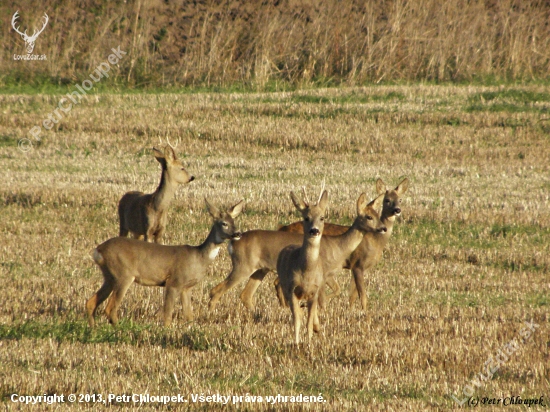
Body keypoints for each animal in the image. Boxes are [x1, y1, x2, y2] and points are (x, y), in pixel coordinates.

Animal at [85, 198, 244, 326]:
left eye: (234, 222)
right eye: (224, 223)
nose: (238, 233)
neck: (198, 257)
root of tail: (98, 250)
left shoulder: (186, 287)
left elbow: (189, 315)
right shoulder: (173, 281)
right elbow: (167, 314)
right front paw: (166, 331)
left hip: (109, 276)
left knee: (91, 302)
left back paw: (94, 329)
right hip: (123, 274)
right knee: (110, 308)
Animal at [209, 191, 386, 312]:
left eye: (379, 215)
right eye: (369, 217)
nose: (383, 228)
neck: (338, 246)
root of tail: (233, 242)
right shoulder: (322, 274)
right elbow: (322, 301)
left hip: (259, 269)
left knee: (245, 295)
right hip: (243, 266)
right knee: (217, 290)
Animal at [280, 177, 410, 308]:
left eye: (400, 199)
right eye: (387, 200)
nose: (397, 210)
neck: (375, 240)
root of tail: (283, 228)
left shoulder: (359, 267)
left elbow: (352, 295)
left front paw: (351, 309)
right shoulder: (357, 264)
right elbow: (362, 295)